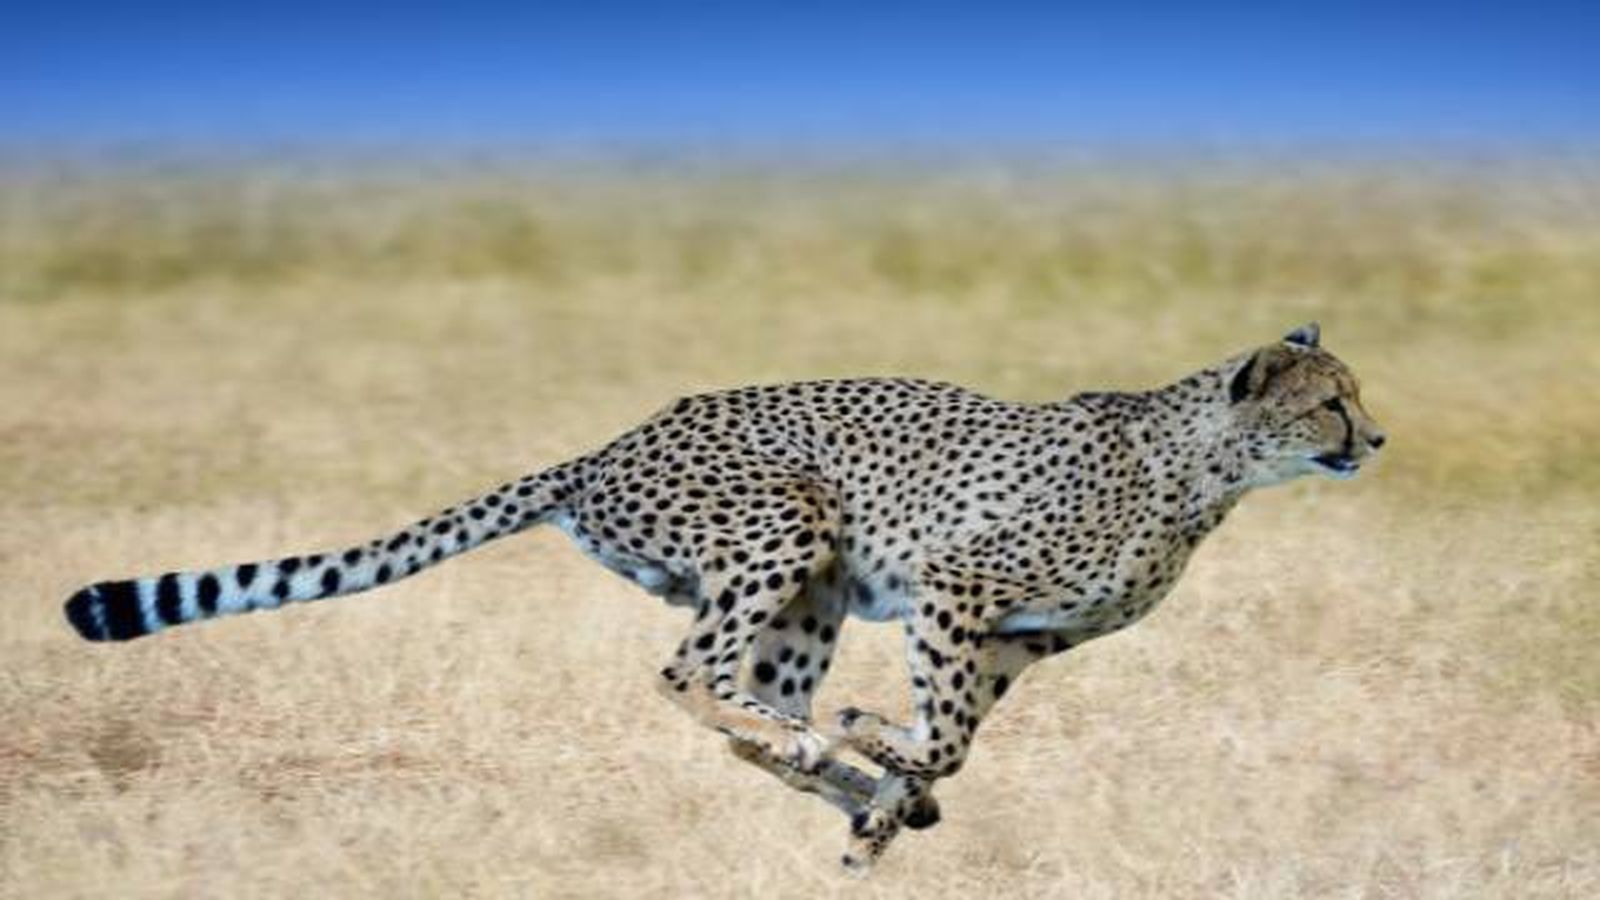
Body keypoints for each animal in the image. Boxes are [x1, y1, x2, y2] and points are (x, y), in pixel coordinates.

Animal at [64, 322, 1384, 872]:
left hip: (812, 592)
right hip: (786, 523)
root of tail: (606, 445)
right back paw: (824, 749)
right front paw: (878, 750)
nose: (1374, 438)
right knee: (686, 675)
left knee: (748, 711)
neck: (1205, 469)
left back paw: (834, 771)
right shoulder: (958, 588)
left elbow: (950, 740)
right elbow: (942, 732)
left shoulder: (1023, 641)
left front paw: (879, 793)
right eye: (1328, 400)